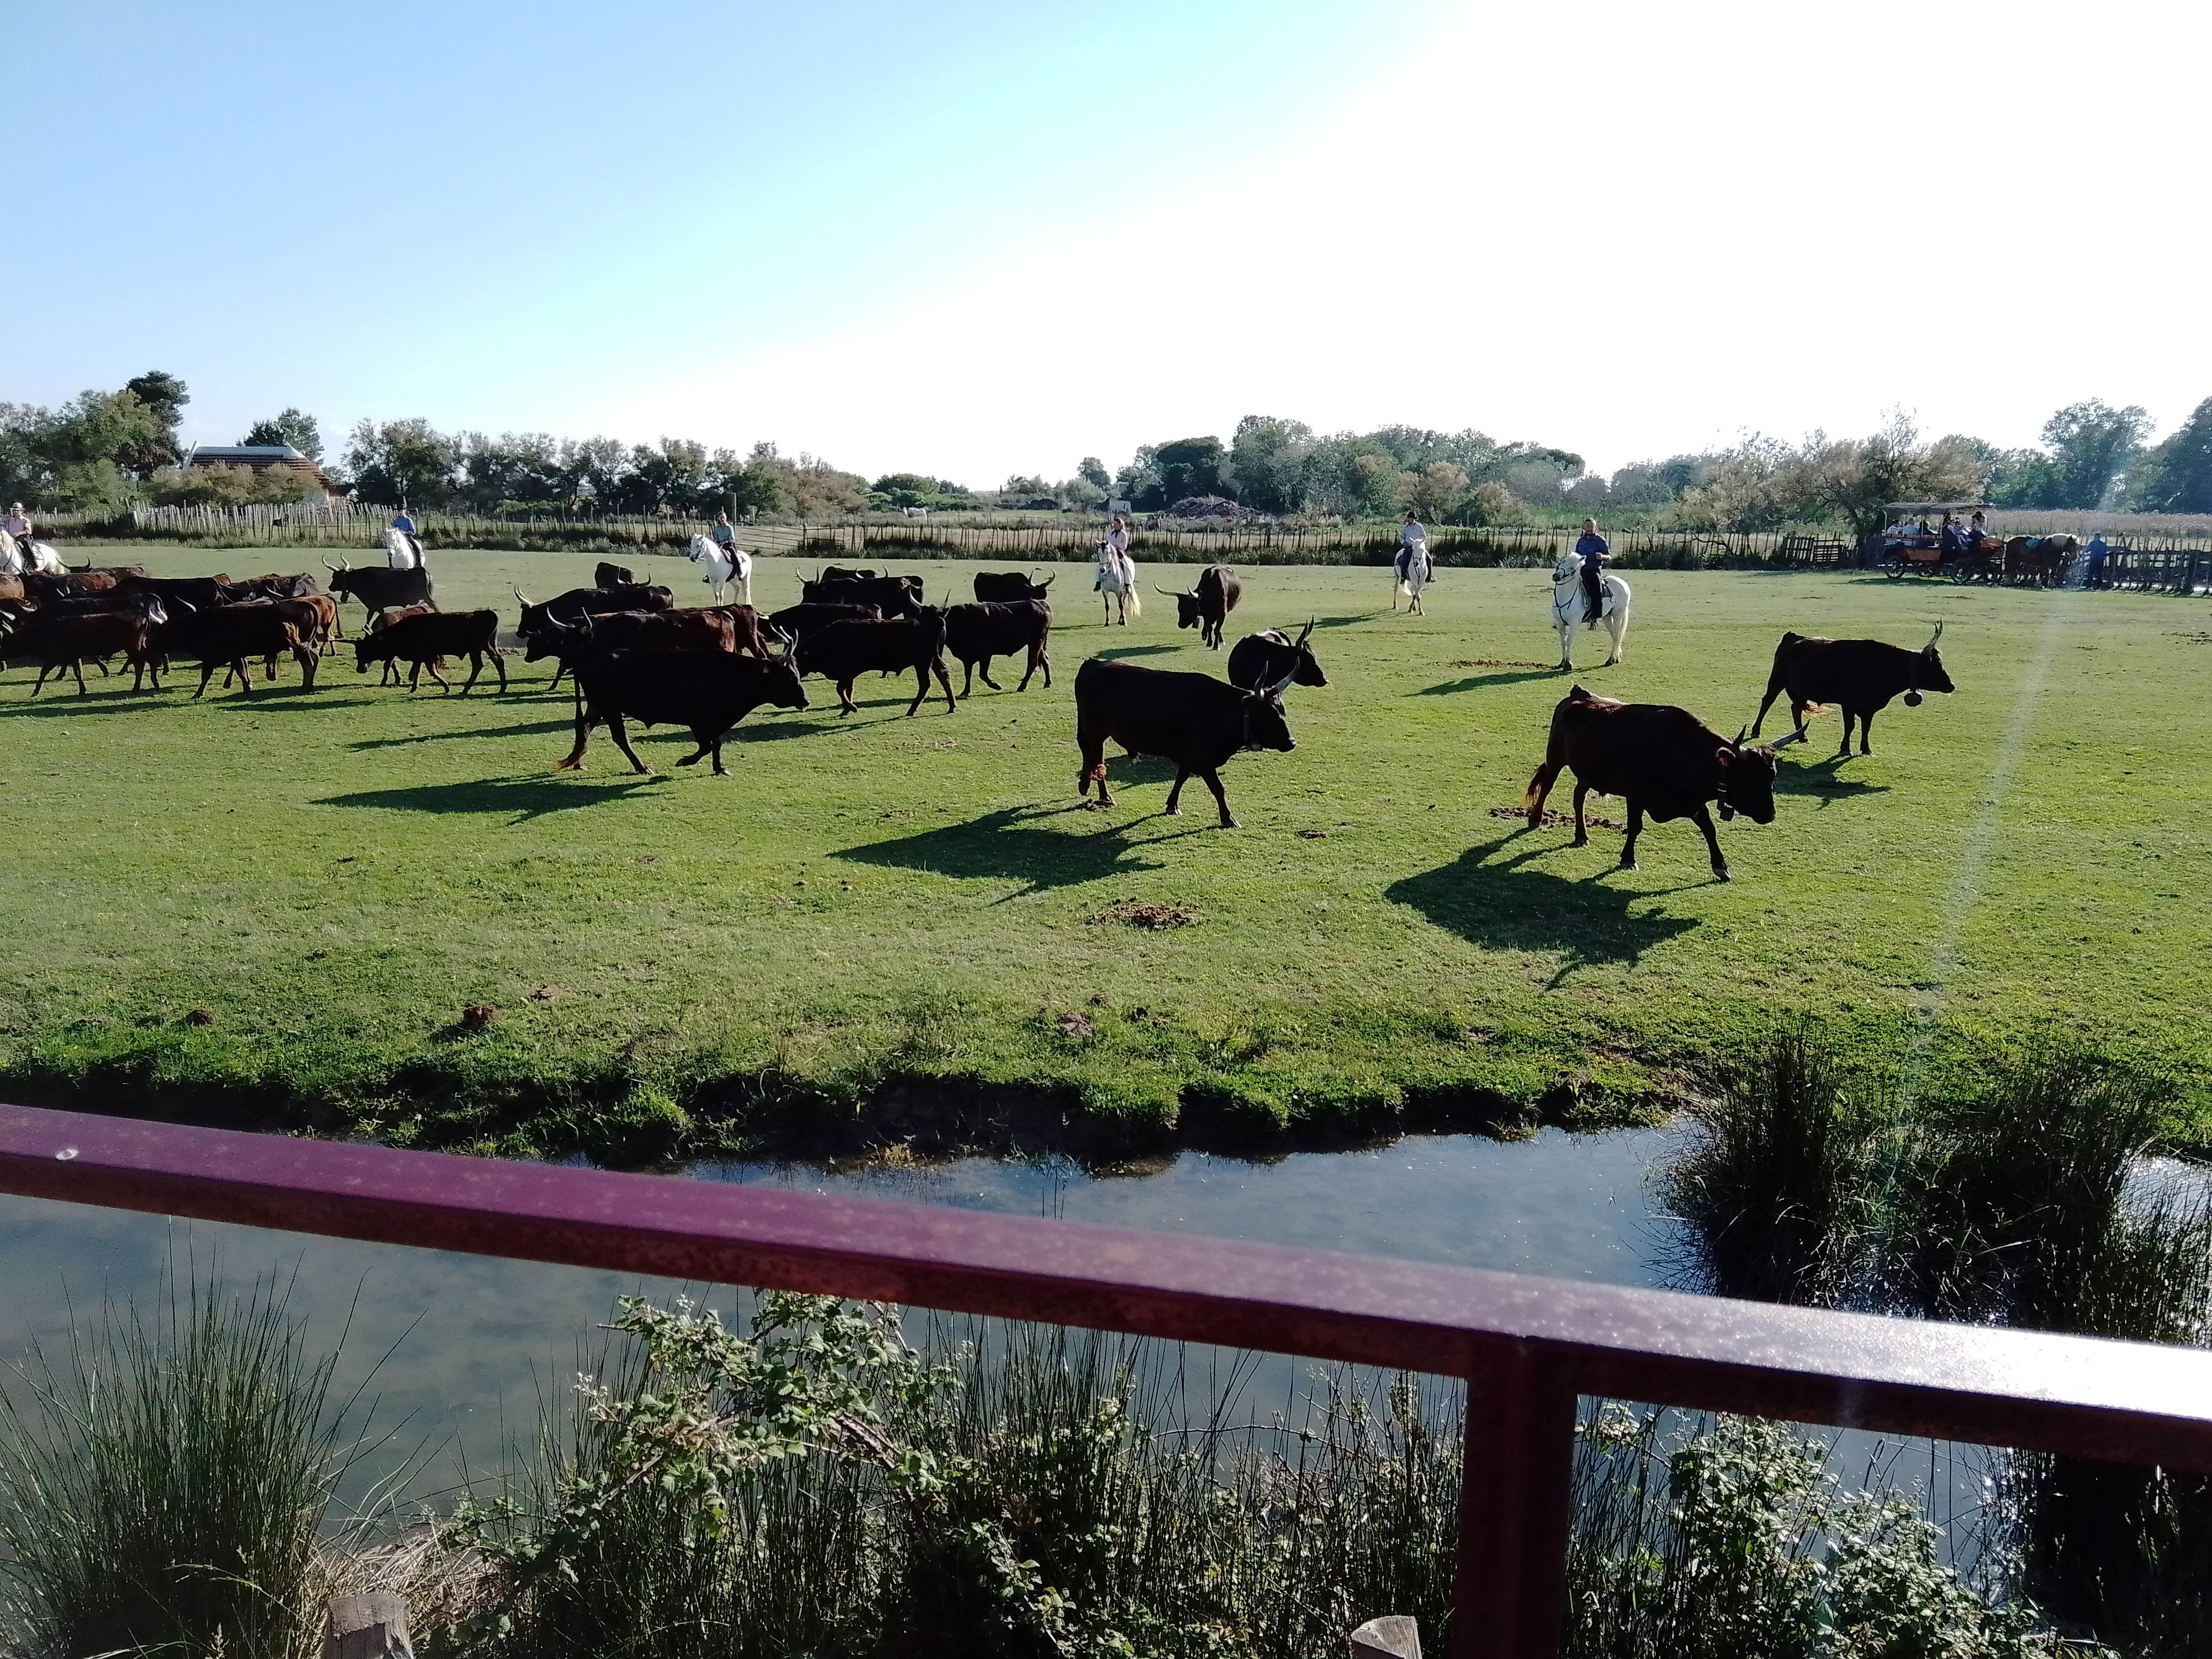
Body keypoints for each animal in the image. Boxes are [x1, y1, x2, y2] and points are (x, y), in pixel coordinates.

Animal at [1548, 553, 1637, 668]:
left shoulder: (1574, 624)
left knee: (1617, 636)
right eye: (1563, 561)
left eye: (1573, 570)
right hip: (1607, 617)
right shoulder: (1560, 624)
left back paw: (1611, 660)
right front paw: (1563, 662)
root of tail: (1623, 583)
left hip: (1618, 615)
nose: (1556, 576)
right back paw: (1617, 658)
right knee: (1614, 635)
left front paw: (1569, 663)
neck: (1564, 596)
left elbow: (1569, 641)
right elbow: (1563, 642)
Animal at [1743, 624, 1955, 761]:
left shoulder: (1869, 708)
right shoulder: (1848, 703)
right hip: (1777, 680)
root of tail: (1793, 636)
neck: (1882, 666)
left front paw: (1866, 750)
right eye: (1935, 666)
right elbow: (1850, 726)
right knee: (1767, 702)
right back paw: (1756, 730)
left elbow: (1866, 727)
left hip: (1800, 689)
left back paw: (1802, 737)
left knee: (1796, 708)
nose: (1951, 686)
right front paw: (1845, 749)